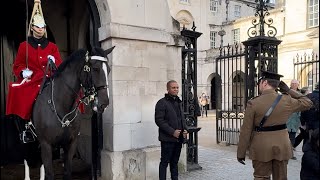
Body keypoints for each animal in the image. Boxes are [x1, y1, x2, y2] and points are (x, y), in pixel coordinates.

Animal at [31, 45, 114, 179]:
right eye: (95, 69)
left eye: (109, 70)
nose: (104, 103)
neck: (62, 105)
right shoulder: (46, 145)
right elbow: (50, 174)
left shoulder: (71, 143)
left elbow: (67, 172)